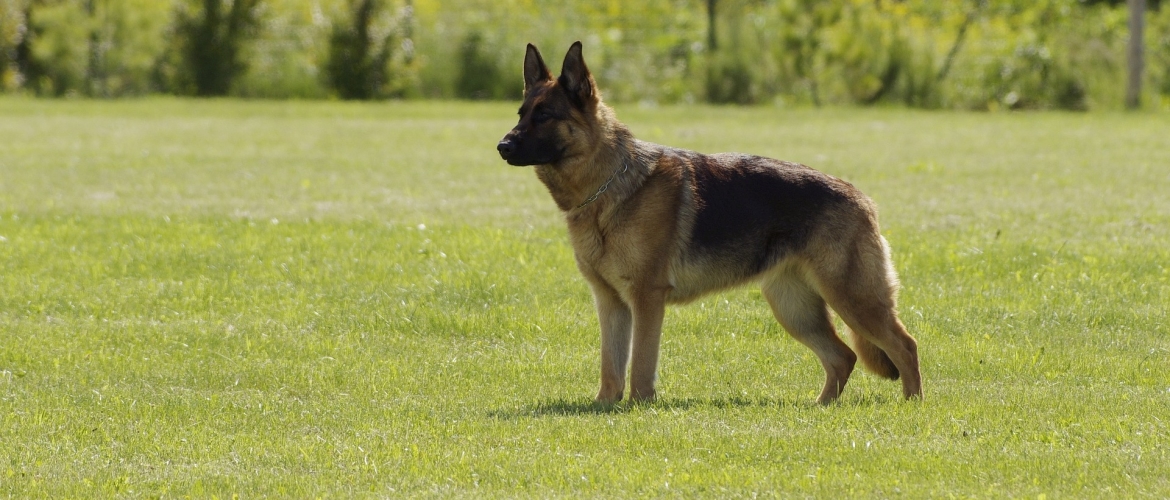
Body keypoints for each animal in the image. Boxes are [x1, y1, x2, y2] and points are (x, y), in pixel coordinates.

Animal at [496, 40, 921, 405]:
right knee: (843, 357)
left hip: (852, 299)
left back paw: (912, 405)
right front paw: (604, 406)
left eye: (544, 116)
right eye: (521, 114)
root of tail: (862, 198)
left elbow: (641, 365)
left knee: (905, 346)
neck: (609, 186)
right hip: (795, 308)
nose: (502, 146)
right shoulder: (610, 302)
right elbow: (611, 367)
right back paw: (821, 407)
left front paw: (639, 407)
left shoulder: (647, 299)